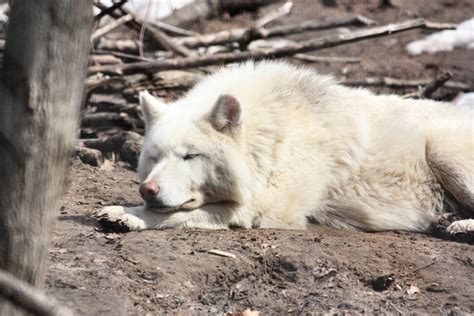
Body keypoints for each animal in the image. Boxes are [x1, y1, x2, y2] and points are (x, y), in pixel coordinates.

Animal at [97, 60, 474, 236]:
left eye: (191, 156)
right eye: (155, 157)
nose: (148, 190)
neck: (268, 134)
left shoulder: (271, 208)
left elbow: (179, 213)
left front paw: (130, 215)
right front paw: (124, 209)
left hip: (442, 149)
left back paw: (458, 226)